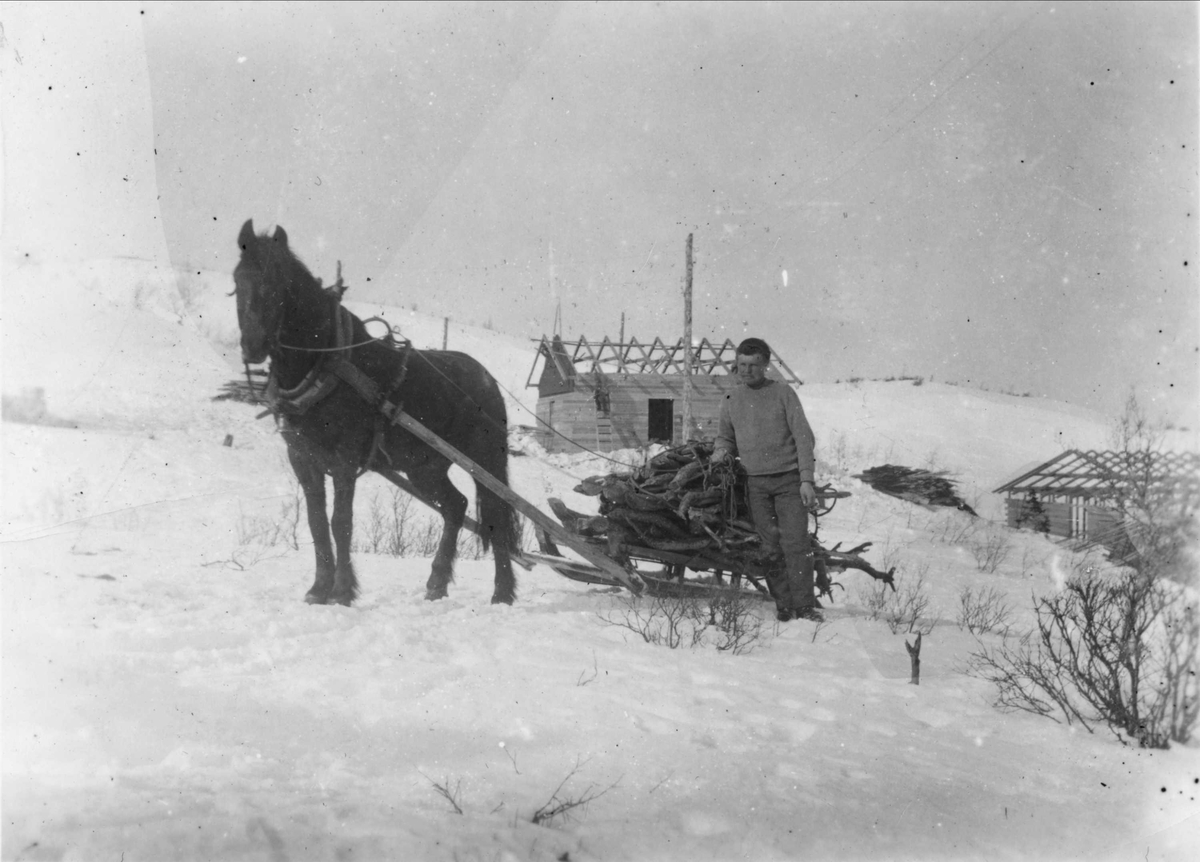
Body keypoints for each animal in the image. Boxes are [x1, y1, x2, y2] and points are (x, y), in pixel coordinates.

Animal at [231, 217, 518, 607]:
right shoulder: (303, 459)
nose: (253, 346)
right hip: (424, 467)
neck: (325, 365)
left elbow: (340, 522)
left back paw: (502, 593)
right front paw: (318, 589)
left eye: (279, 280)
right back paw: (437, 583)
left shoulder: (344, 460)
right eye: (238, 280)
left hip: (485, 460)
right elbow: (316, 523)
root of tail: (486, 378)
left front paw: (341, 591)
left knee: (495, 517)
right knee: (455, 506)